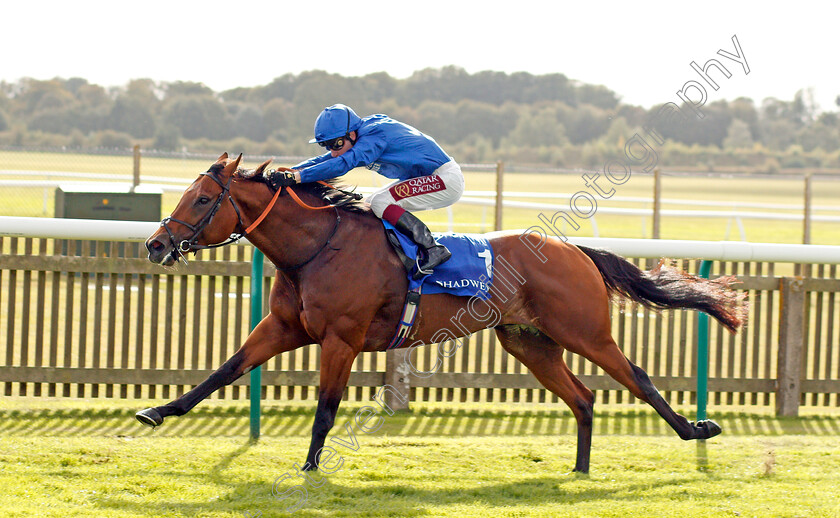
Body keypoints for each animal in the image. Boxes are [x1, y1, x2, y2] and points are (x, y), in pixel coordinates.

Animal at [135, 153, 744, 476]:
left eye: (201, 200)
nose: (155, 245)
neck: (318, 247)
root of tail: (576, 251)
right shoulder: (284, 328)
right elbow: (223, 371)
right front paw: (157, 412)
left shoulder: (341, 340)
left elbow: (327, 409)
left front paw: (308, 469)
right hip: (529, 342)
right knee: (583, 397)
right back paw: (580, 468)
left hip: (585, 331)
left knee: (637, 377)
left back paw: (696, 429)